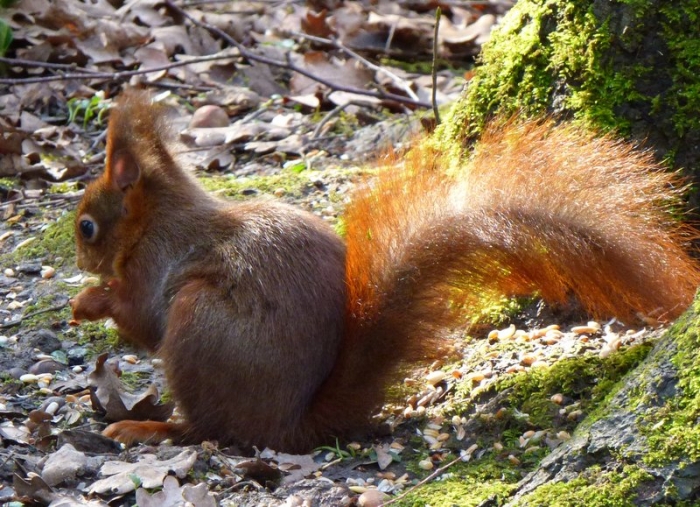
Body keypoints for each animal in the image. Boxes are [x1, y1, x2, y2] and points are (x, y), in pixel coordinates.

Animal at [70, 90, 700, 453]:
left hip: (196, 321)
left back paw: (146, 428)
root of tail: (291, 425)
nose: (80, 260)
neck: (158, 217)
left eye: (87, 227)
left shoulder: (157, 265)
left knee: (208, 430)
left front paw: (89, 301)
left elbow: (140, 320)